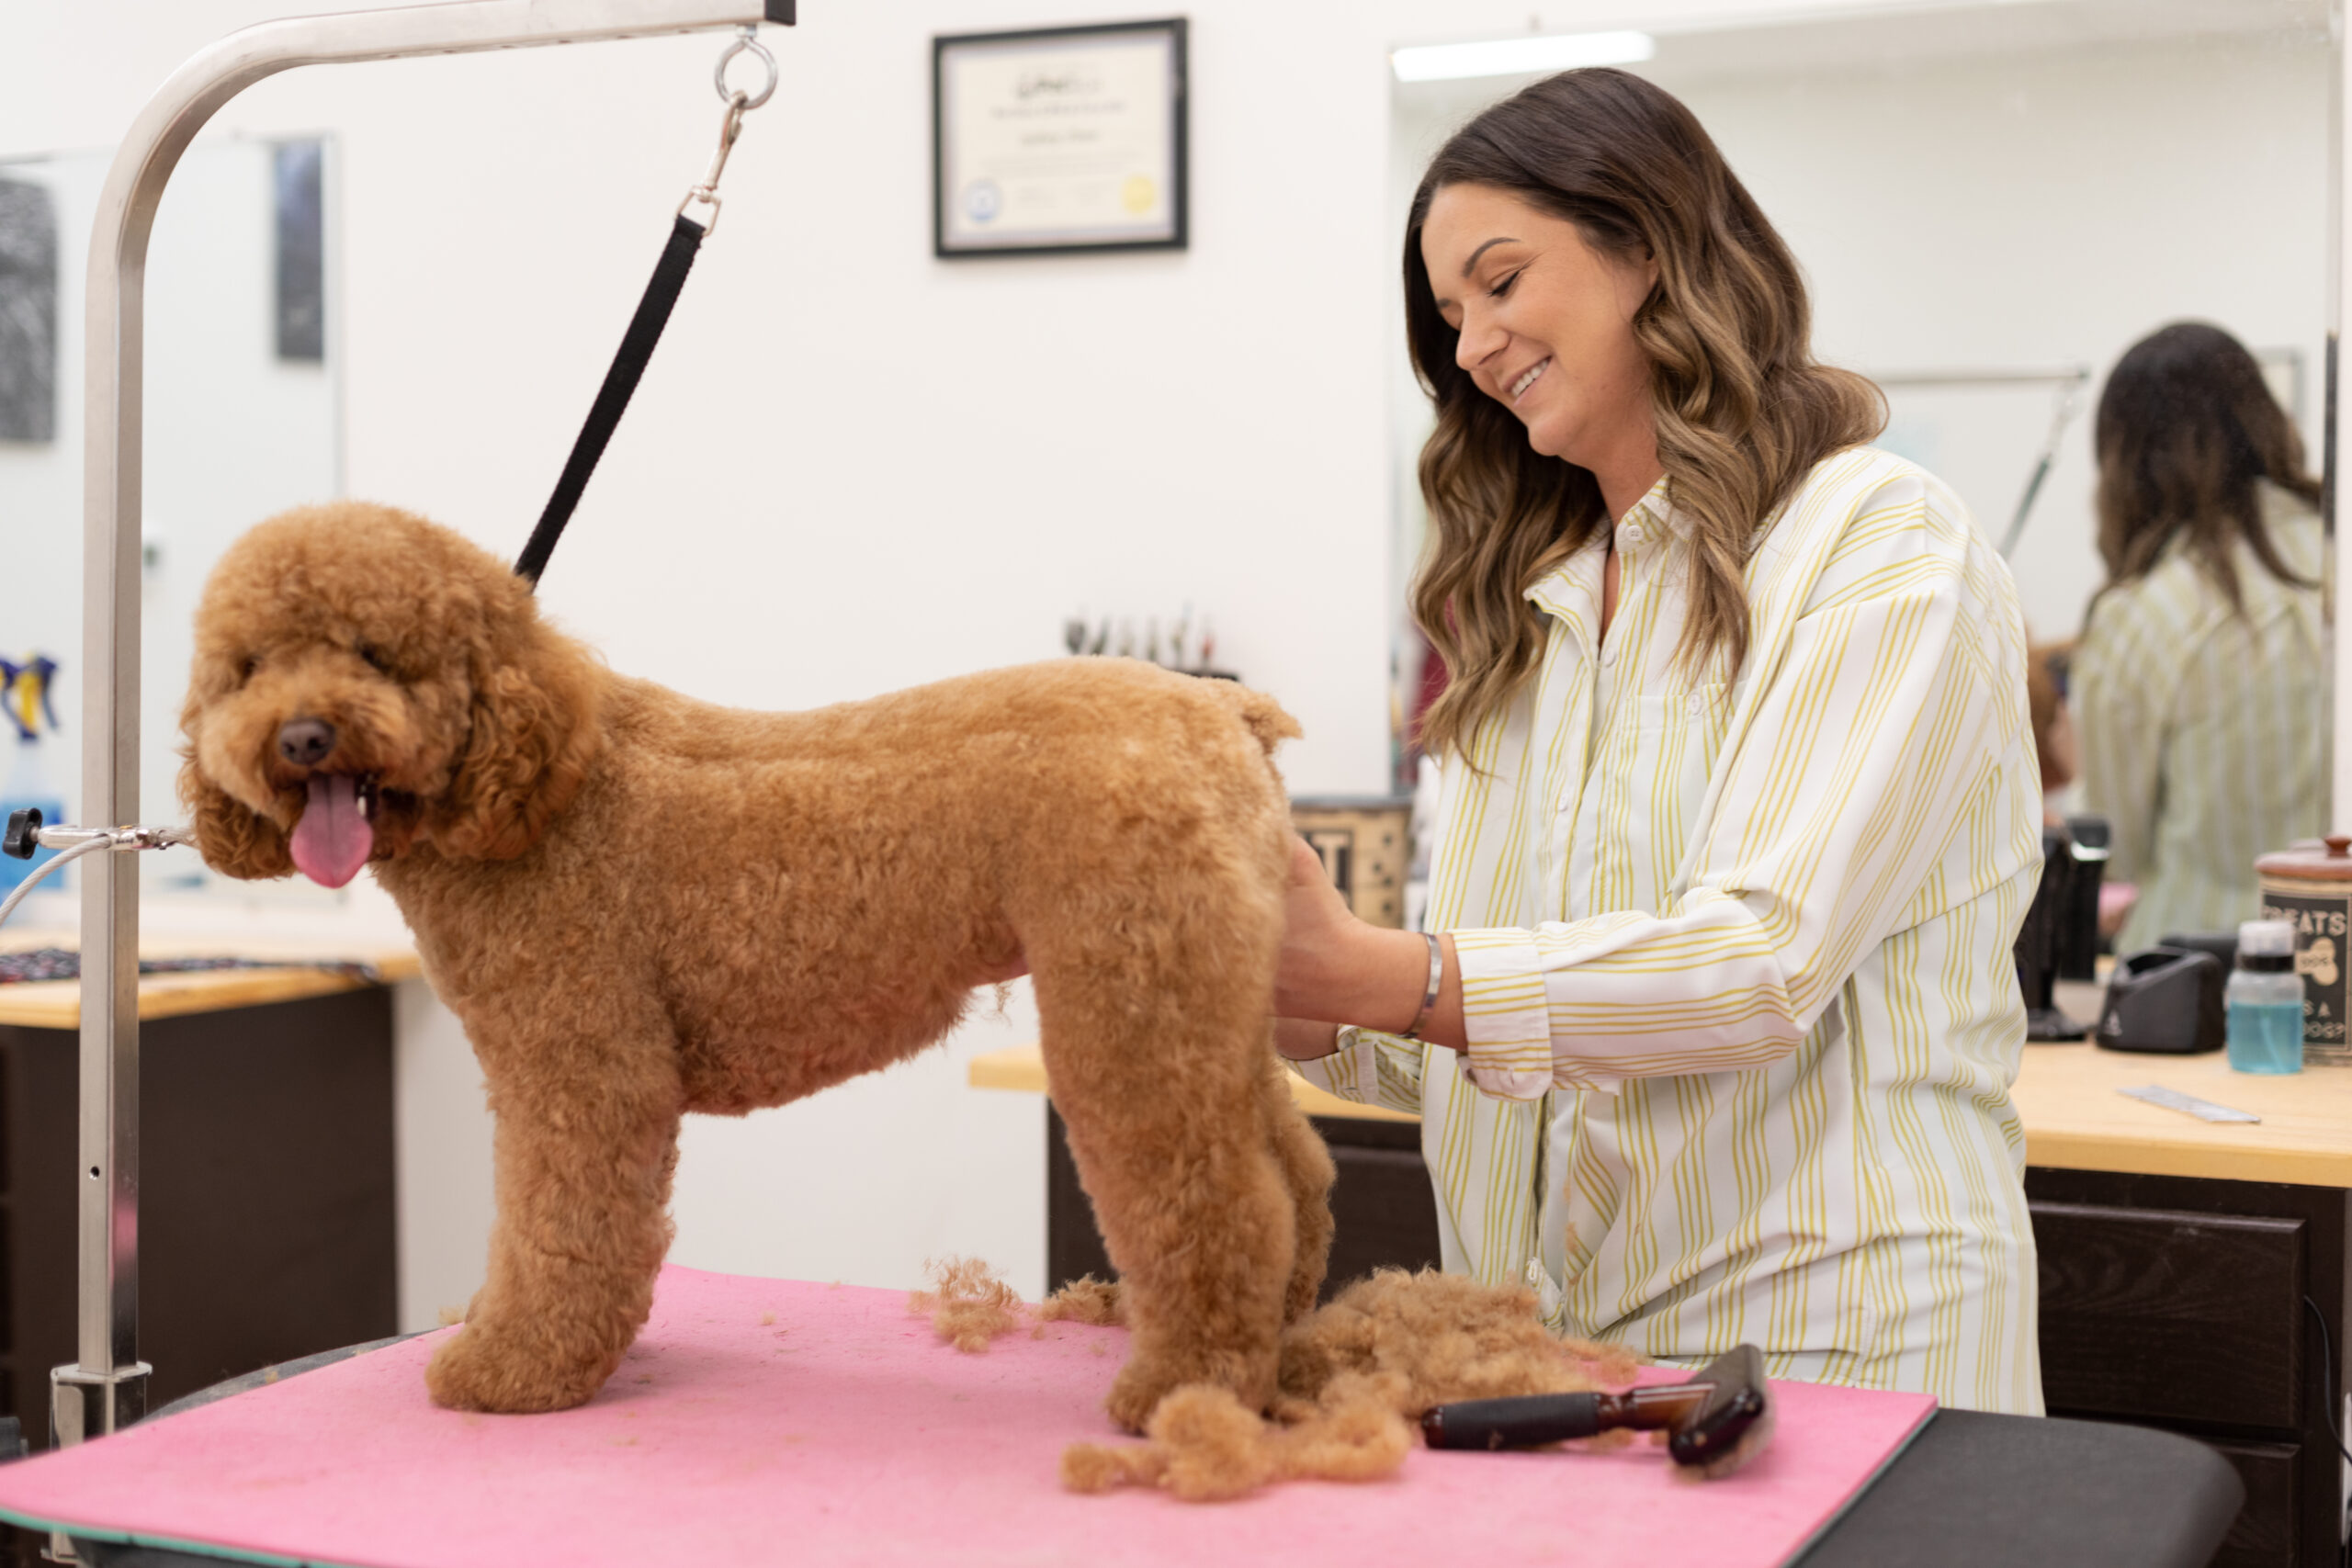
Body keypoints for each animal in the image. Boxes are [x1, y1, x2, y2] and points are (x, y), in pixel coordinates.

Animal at [176, 502, 1336, 1438]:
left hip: (1126, 998)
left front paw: (513, 1367)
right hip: (1209, 997)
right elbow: (574, 1233)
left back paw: (1182, 1390)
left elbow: (559, 1231)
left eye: (377, 654)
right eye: (249, 666)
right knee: (1294, 1173)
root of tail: (1221, 711)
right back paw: (1277, 1341)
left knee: (1221, 1200)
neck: (538, 787)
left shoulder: (582, 1070)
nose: (302, 736)